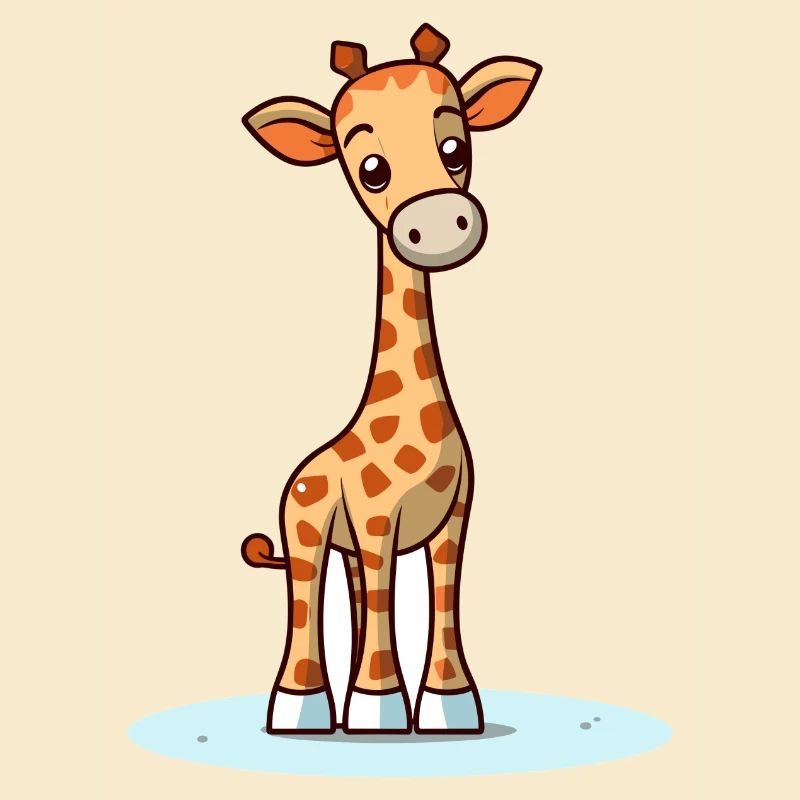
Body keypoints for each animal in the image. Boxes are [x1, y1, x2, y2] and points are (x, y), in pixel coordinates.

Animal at [240, 23, 541, 734]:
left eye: (455, 146)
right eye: (370, 168)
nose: (435, 223)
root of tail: (299, 472)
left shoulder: (455, 517)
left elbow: (443, 597)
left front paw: (445, 707)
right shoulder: (377, 519)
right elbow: (385, 598)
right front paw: (380, 708)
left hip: (344, 544)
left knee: (352, 595)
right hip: (305, 529)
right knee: (307, 594)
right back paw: (302, 709)